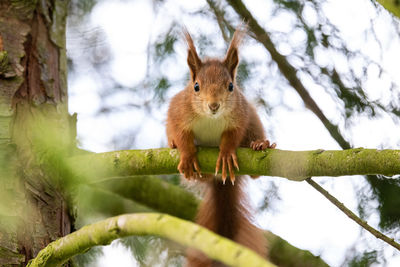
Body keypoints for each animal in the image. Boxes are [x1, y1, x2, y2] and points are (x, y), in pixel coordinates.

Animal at [166, 27, 276, 267]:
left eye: (231, 86)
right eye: (196, 87)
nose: (214, 106)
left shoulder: (240, 115)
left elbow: (231, 137)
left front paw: (225, 154)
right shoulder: (178, 112)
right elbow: (181, 134)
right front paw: (186, 154)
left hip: (253, 120)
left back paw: (258, 144)